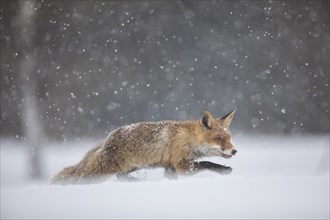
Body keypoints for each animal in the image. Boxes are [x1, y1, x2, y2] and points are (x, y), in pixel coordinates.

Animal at [51, 109, 237, 184]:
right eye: (219, 139)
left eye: (229, 138)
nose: (235, 150)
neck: (187, 138)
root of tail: (106, 139)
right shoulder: (182, 164)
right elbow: (207, 163)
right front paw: (224, 169)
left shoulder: (170, 167)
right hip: (102, 171)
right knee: (78, 179)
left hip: (131, 167)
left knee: (120, 177)